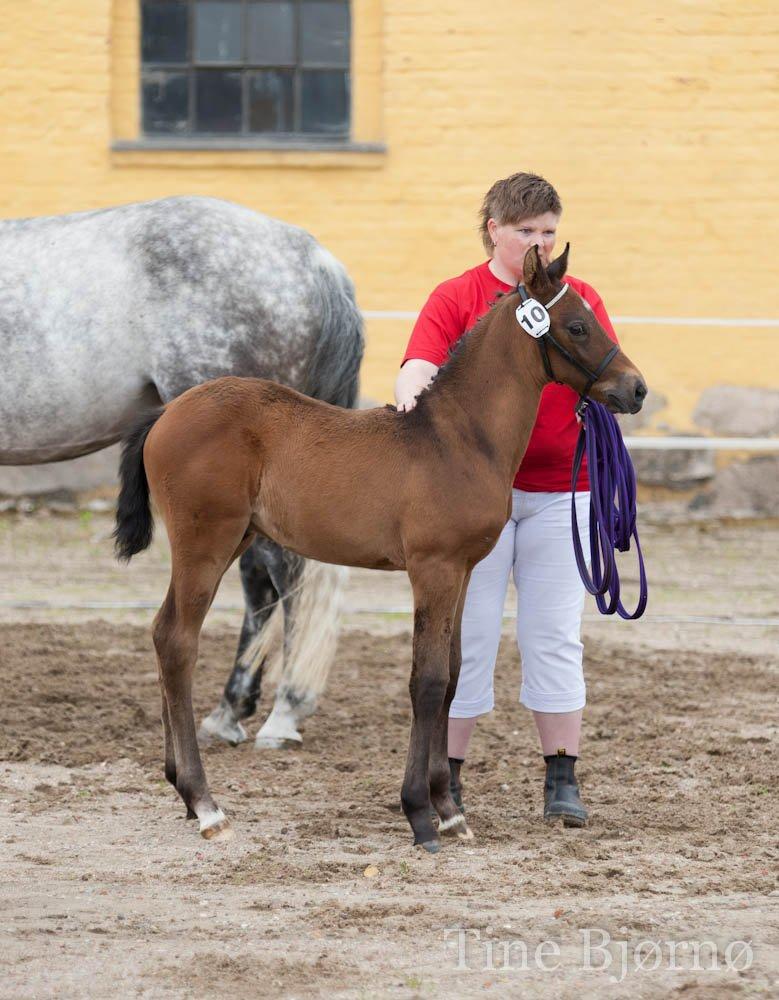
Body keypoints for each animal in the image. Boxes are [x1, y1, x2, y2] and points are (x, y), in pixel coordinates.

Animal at [116, 244, 648, 852]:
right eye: (578, 325)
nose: (636, 389)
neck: (457, 440)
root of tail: (168, 412)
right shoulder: (433, 570)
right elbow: (428, 680)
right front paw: (422, 813)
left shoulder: (463, 571)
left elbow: (453, 676)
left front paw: (449, 810)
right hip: (205, 542)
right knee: (178, 642)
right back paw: (207, 805)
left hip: (230, 541)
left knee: (163, 633)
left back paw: (182, 790)